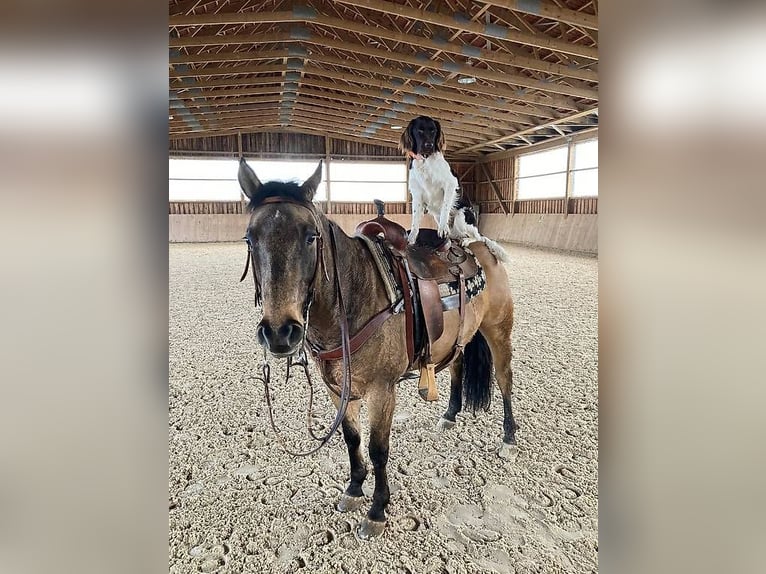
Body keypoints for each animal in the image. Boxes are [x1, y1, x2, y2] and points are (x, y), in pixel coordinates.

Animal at [237, 158, 520, 540]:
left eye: (311, 236)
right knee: (458, 365)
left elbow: (377, 449)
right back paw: (449, 415)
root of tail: (477, 244)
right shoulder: (337, 388)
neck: (356, 299)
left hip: (498, 330)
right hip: (461, 336)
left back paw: (508, 438)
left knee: (504, 380)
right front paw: (354, 489)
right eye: (250, 238)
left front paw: (377, 510)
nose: (280, 332)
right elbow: (352, 439)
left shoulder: (383, 390)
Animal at [402, 116, 462, 244]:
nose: (429, 145)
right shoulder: (416, 193)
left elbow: (445, 207)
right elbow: (415, 219)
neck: (425, 161)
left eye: (433, 131)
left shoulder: (450, 183)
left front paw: (443, 228)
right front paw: (411, 238)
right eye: (419, 130)